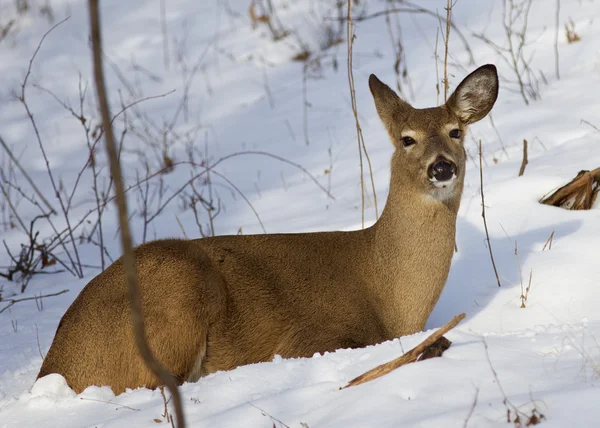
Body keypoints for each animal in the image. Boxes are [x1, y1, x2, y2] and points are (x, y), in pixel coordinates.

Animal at [35, 63, 500, 394]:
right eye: (407, 139)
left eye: (456, 132)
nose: (442, 167)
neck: (390, 296)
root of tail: (56, 364)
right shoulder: (308, 338)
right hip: (176, 289)